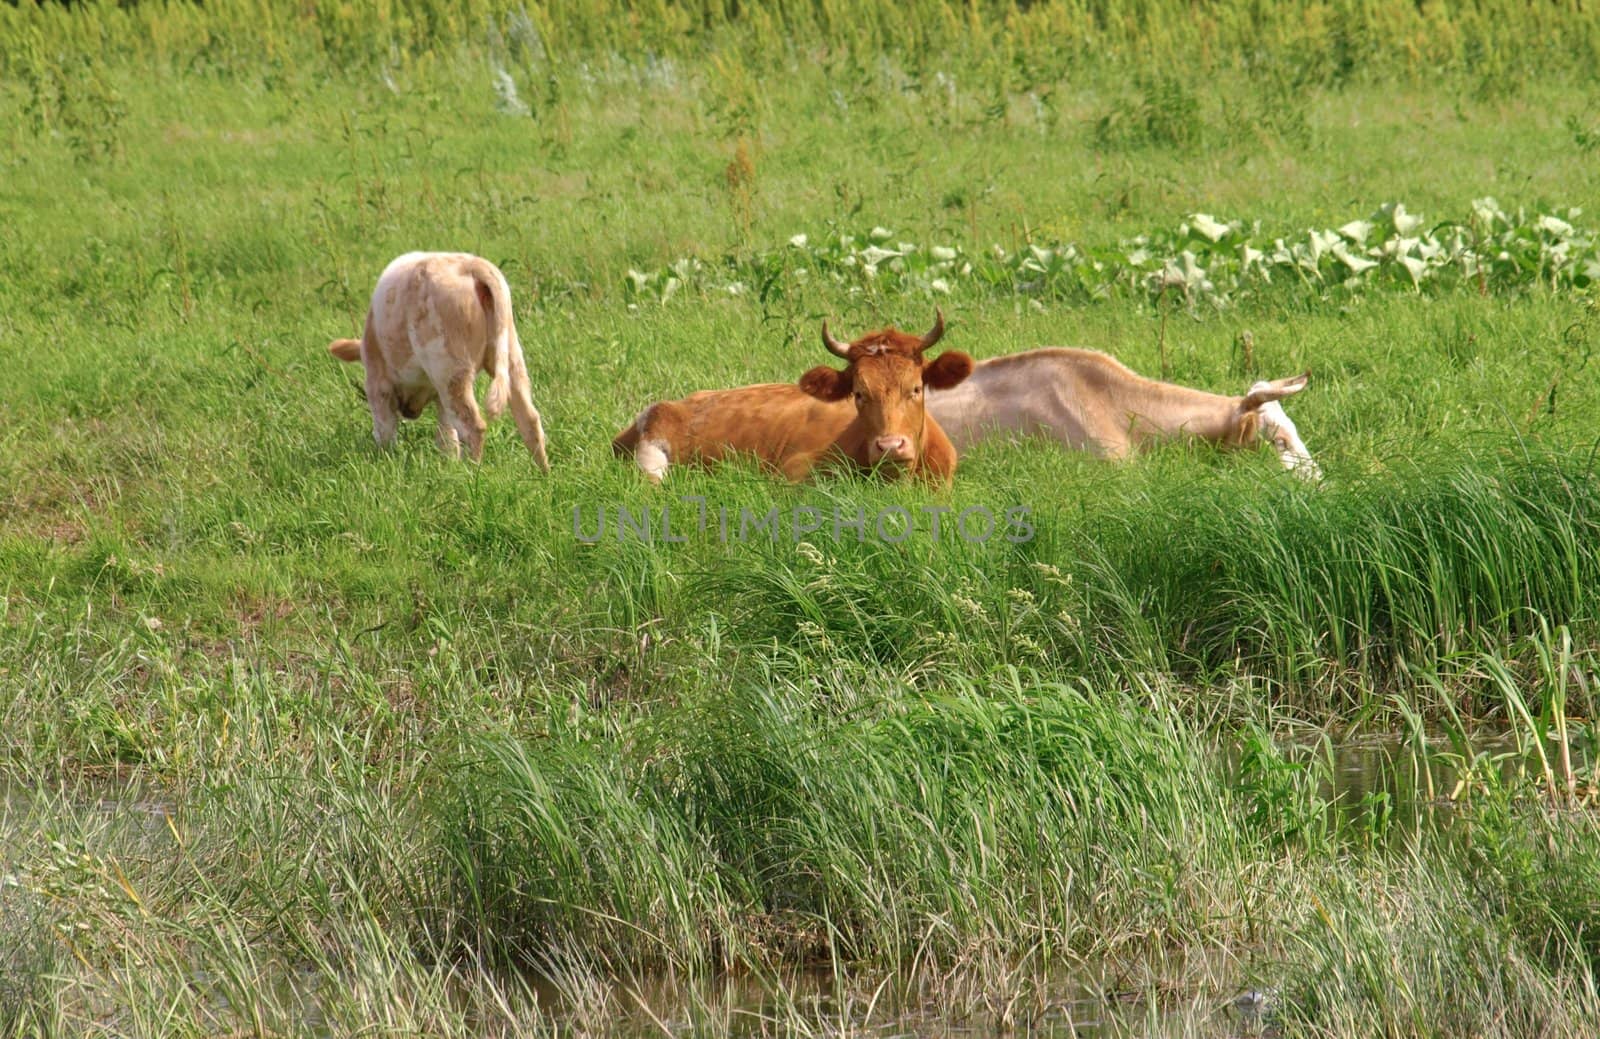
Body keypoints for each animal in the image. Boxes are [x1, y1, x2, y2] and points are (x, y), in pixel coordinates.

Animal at [324, 251, 550, 467]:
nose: (408, 411)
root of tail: (472, 265)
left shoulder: (378, 384)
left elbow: (384, 430)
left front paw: (385, 461)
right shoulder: (439, 397)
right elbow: (447, 438)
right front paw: (448, 467)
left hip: (449, 368)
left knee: (473, 427)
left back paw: (471, 474)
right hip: (510, 355)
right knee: (529, 420)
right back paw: (542, 473)